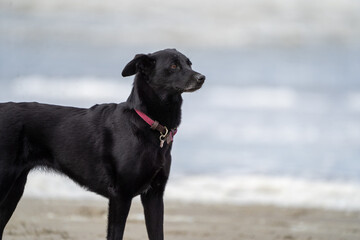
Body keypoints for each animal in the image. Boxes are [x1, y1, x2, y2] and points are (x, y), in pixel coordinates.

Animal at [0, 47, 204, 239]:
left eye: (189, 64)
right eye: (173, 66)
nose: (202, 77)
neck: (147, 123)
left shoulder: (154, 195)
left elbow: (157, 233)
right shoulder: (120, 195)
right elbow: (116, 234)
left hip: (15, 189)